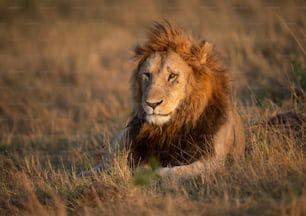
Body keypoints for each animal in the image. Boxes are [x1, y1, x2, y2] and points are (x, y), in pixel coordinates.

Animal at [107, 21, 246, 178]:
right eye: (147, 74)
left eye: (172, 75)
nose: (152, 104)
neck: (173, 127)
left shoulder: (214, 161)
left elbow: (175, 171)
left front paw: (152, 172)